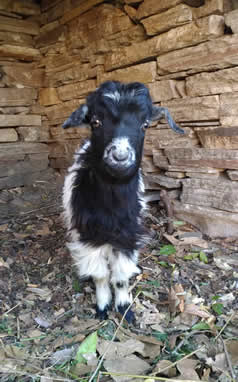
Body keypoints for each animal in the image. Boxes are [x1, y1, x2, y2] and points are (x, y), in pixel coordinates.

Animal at [61, 80, 184, 322]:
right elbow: (100, 275)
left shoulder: (128, 233)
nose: (119, 156)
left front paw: (124, 307)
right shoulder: (89, 235)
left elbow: (120, 277)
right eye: (96, 122)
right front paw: (102, 306)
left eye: (145, 125)